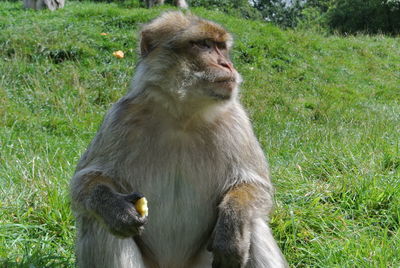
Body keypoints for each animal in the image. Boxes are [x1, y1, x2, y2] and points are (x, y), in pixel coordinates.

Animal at [69, 11, 288, 268]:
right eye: (204, 45)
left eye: (221, 47)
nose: (227, 64)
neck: (182, 117)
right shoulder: (120, 117)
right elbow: (84, 182)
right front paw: (115, 209)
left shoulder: (237, 121)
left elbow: (257, 187)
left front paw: (232, 227)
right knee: (98, 222)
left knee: (254, 223)